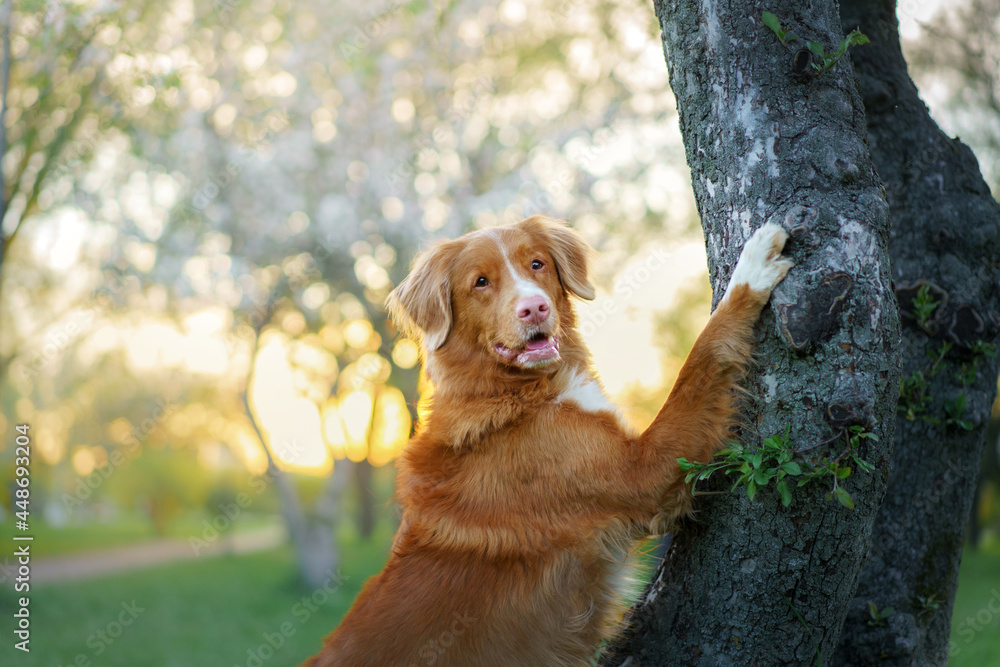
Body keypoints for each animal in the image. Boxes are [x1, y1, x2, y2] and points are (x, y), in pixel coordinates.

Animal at [308, 217, 792, 664]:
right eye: (480, 282)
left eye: (537, 264)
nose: (535, 308)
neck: (511, 393)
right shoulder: (643, 472)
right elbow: (701, 357)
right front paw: (752, 269)